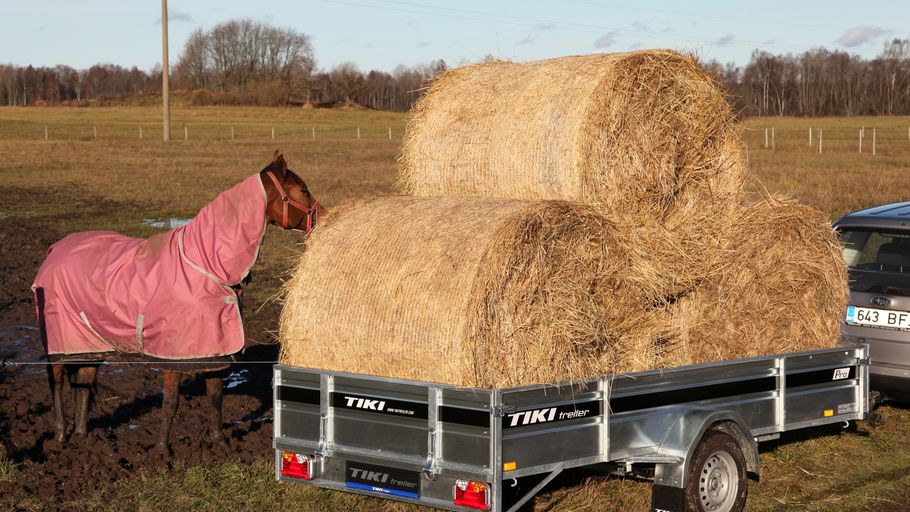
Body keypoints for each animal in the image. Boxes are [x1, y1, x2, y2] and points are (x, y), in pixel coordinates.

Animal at [35, 151, 324, 456]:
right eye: (303, 190)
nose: (325, 215)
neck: (206, 265)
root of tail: (54, 251)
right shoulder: (175, 355)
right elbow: (171, 402)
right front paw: (163, 451)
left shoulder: (215, 352)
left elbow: (215, 397)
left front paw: (220, 443)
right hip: (60, 342)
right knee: (55, 381)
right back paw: (61, 435)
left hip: (91, 341)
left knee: (84, 382)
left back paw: (83, 438)